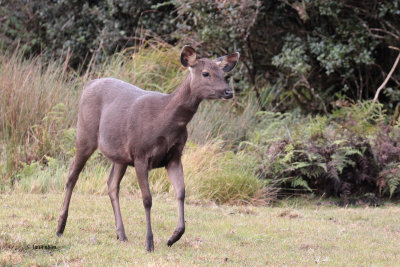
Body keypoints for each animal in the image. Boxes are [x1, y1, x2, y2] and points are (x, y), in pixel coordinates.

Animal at [55, 45, 239, 252]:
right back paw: (60, 228)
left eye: (224, 74)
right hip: (85, 134)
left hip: (120, 154)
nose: (228, 92)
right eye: (205, 73)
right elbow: (147, 199)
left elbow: (181, 192)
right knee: (72, 176)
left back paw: (121, 234)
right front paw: (149, 242)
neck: (164, 122)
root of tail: (89, 83)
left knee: (111, 184)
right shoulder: (140, 154)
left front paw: (173, 237)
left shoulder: (174, 156)